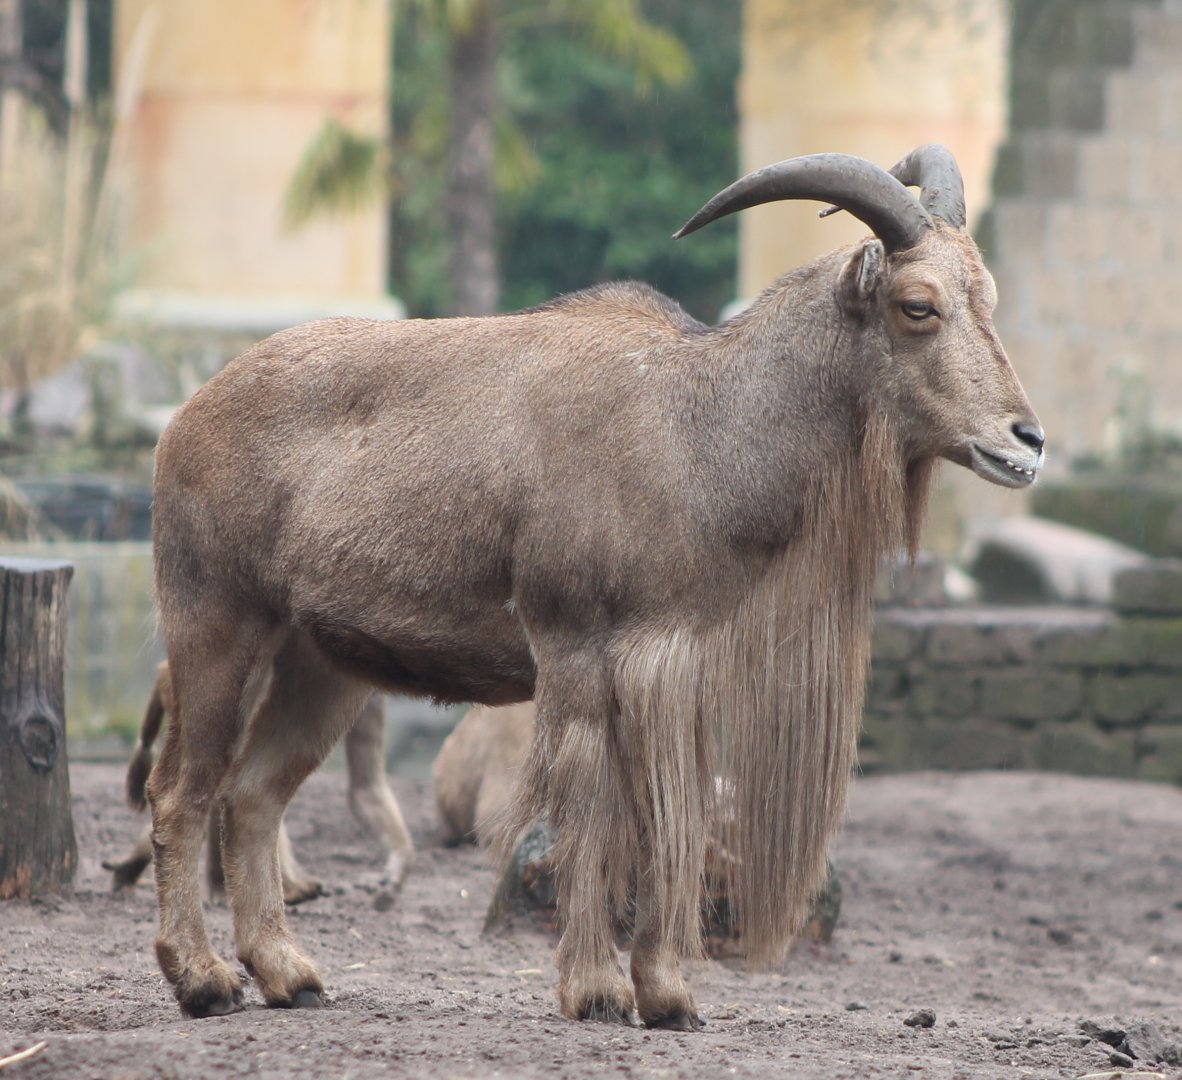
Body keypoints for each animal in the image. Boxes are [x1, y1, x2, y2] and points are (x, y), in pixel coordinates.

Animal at [145, 144, 1043, 1026]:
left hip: (321, 663)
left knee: (254, 794)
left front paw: (669, 996)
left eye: (988, 297)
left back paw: (288, 973)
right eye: (918, 305)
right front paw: (597, 990)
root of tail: (186, 417)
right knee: (182, 791)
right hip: (215, 623)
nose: (1025, 440)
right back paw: (204, 980)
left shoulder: (670, 670)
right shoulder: (577, 649)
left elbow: (664, 823)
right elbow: (590, 813)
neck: (697, 429)